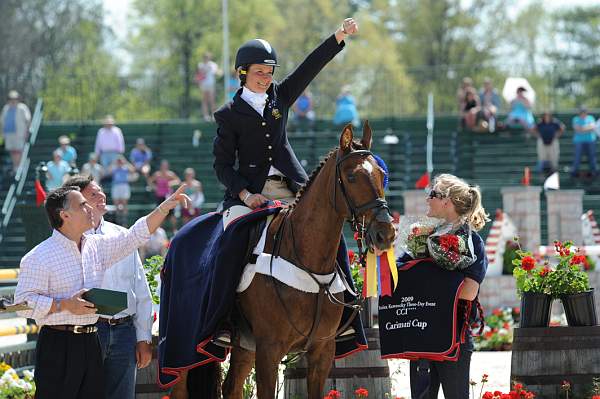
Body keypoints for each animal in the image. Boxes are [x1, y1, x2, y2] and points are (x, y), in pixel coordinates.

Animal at [170, 123, 394, 398]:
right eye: (352, 177)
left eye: (381, 174)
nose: (385, 233)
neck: (306, 261)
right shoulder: (269, 350)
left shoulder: (322, 351)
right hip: (185, 353)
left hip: (244, 347)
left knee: (231, 386)